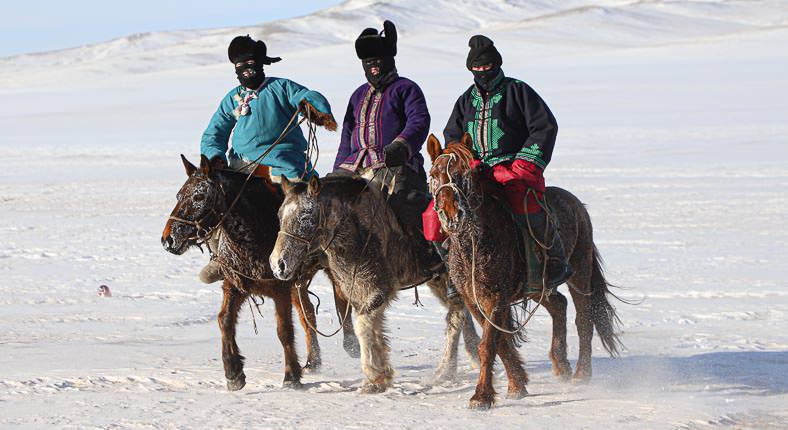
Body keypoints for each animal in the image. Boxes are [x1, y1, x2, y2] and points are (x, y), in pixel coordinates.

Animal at [270, 176, 480, 394]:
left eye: (305, 216)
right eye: (279, 215)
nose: (278, 265)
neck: (357, 231)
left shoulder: (380, 290)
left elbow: (363, 326)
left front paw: (372, 376)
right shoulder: (359, 291)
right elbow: (375, 329)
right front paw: (382, 375)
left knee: (457, 317)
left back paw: (446, 370)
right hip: (440, 281)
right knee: (458, 313)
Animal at [424, 134, 620, 410]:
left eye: (466, 175)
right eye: (434, 174)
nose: (453, 214)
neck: (474, 245)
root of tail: (577, 205)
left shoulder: (497, 296)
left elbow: (488, 345)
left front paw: (481, 396)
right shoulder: (473, 299)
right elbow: (500, 342)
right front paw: (517, 384)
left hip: (580, 271)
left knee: (584, 318)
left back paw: (581, 373)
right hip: (539, 286)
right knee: (559, 305)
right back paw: (561, 365)